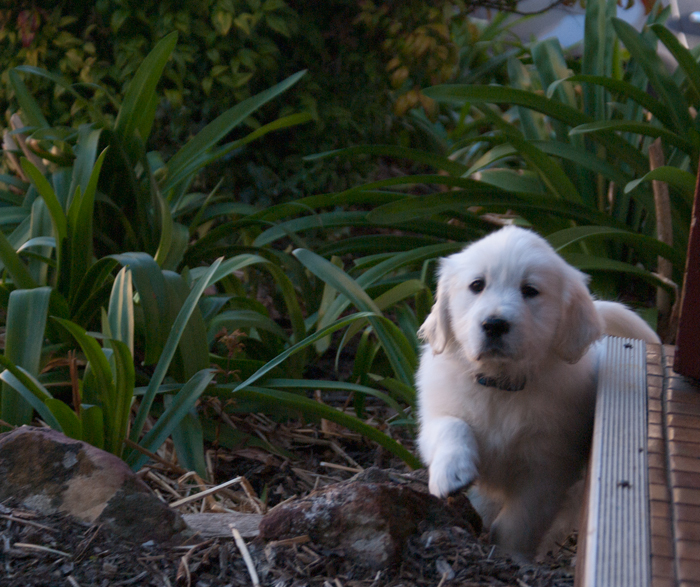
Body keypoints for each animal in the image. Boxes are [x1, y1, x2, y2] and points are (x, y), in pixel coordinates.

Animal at [416, 225, 660, 560]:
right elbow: (451, 425)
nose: (494, 324)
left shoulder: (547, 468)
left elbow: (519, 524)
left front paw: (511, 555)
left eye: (530, 291)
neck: (501, 386)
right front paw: (451, 473)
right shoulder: (436, 412)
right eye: (477, 285)